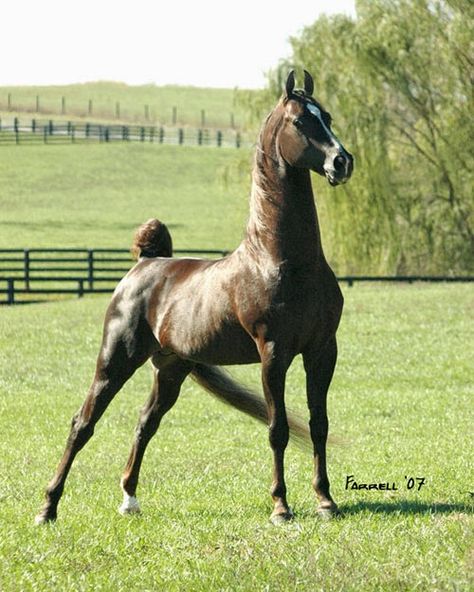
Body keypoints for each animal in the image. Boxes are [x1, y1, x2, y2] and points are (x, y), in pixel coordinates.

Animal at [36, 69, 352, 524]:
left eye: (326, 116)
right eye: (299, 121)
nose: (341, 162)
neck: (282, 260)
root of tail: (145, 263)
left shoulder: (323, 349)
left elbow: (318, 423)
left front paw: (326, 500)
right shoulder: (273, 352)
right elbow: (277, 428)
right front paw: (280, 507)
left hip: (171, 368)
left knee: (145, 423)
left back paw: (129, 500)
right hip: (116, 360)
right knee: (83, 423)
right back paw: (48, 507)